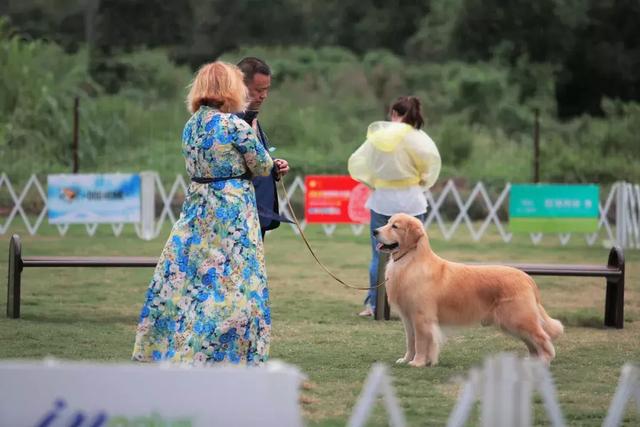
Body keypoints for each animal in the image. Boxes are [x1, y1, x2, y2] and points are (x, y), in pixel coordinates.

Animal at [372, 214, 564, 368]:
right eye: (387, 222)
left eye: (395, 226)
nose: (374, 231)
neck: (410, 261)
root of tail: (527, 278)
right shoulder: (408, 318)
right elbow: (410, 341)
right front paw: (406, 359)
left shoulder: (421, 317)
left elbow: (420, 342)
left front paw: (418, 362)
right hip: (512, 323)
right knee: (532, 342)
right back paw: (532, 362)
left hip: (519, 318)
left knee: (542, 338)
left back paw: (545, 360)